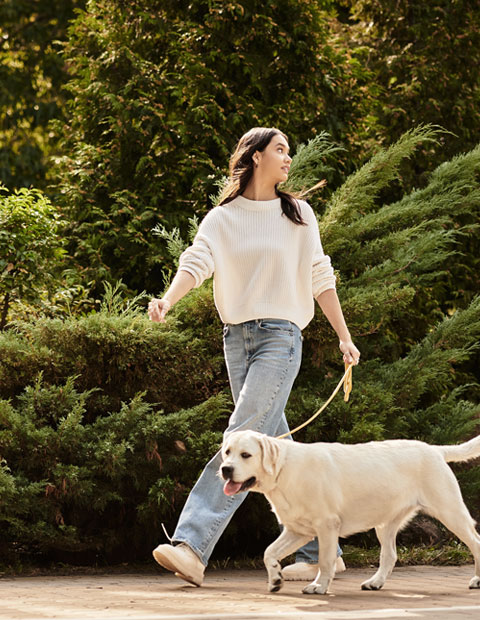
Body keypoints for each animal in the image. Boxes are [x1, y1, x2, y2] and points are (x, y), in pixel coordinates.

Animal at [219, 429, 480, 595]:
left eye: (246, 455)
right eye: (227, 452)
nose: (225, 469)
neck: (283, 470)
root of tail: (435, 450)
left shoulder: (326, 525)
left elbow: (325, 561)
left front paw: (319, 587)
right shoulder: (298, 531)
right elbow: (269, 552)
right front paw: (275, 579)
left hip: (450, 511)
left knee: (475, 542)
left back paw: (477, 580)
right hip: (385, 523)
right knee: (389, 555)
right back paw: (375, 583)